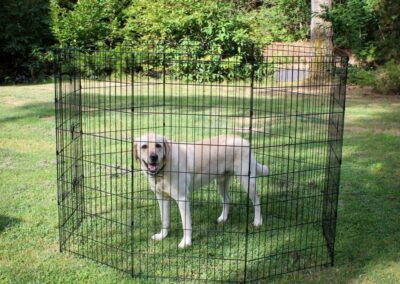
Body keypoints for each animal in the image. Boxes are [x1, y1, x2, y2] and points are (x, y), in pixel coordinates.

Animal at [134, 132, 268, 247]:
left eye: (158, 145)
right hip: (220, 182)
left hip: (247, 180)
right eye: (144, 146)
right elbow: (165, 221)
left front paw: (186, 242)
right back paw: (223, 218)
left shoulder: (182, 199)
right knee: (227, 199)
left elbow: (186, 224)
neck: (162, 170)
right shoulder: (162, 198)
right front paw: (162, 236)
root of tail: (243, 139)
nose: (154, 157)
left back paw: (258, 221)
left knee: (256, 199)